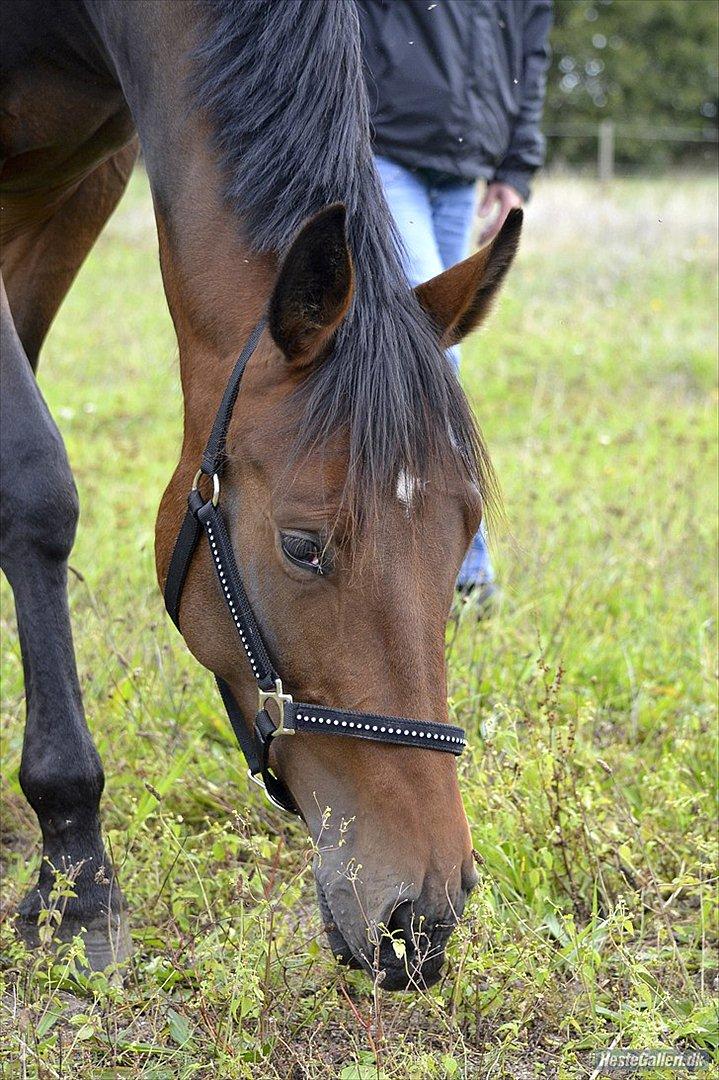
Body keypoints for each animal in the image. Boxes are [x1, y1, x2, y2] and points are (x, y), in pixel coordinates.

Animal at [0, 0, 516, 989]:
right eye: (302, 546)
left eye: (462, 531)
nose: (423, 917)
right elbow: (33, 483)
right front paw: (78, 879)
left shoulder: (72, 186)